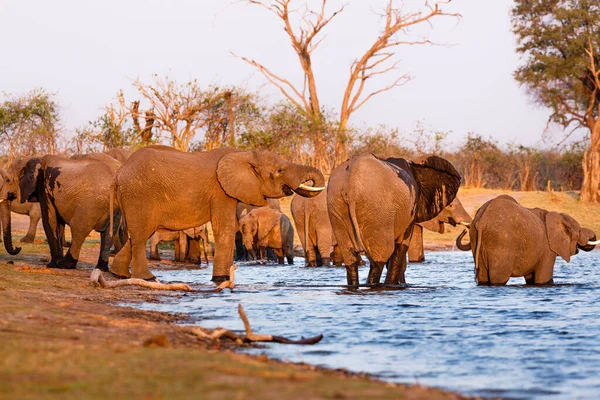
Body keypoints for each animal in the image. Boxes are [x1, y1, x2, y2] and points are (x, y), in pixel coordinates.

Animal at [108, 145, 324, 282]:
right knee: (141, 234)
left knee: (138, 234)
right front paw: (221, 279)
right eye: (280, 171)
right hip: (139, 196)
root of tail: (118, 175)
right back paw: (147, 278)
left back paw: (119, 274)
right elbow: (225, 229)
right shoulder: (221, 191)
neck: (244, 155)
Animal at [326, 152, 462, 286]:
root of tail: (350, 186)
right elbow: (401, 246)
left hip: (336, 205)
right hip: (378, 210)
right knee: (380, 257)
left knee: (350, 258)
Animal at [454, 195, 596, 284]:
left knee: (482, 276)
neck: (556, 215)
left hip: (476, 239)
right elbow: (543, 278)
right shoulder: (547, 249)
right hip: (501, 243)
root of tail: (482, 221)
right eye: (579, 231)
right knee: (499, 278)